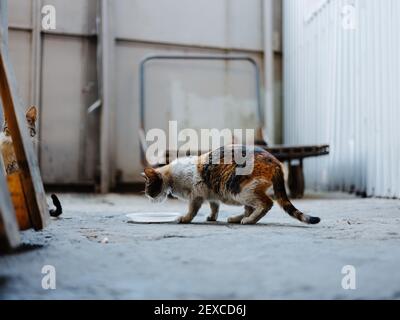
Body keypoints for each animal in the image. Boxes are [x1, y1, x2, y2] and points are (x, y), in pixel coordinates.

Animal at [142, 145, 320, 225]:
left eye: (147, 187)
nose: (146, 195)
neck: (172, 176)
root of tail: (275, 160)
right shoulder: (211, 194)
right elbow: (214, 206)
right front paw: (212, 217)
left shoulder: (196, 195)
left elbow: (192, 210)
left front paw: (185, 218)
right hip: (242, 192)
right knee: (250, 208)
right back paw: (237, 218)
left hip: (241, 189)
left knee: (266, 204)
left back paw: (249, 220)